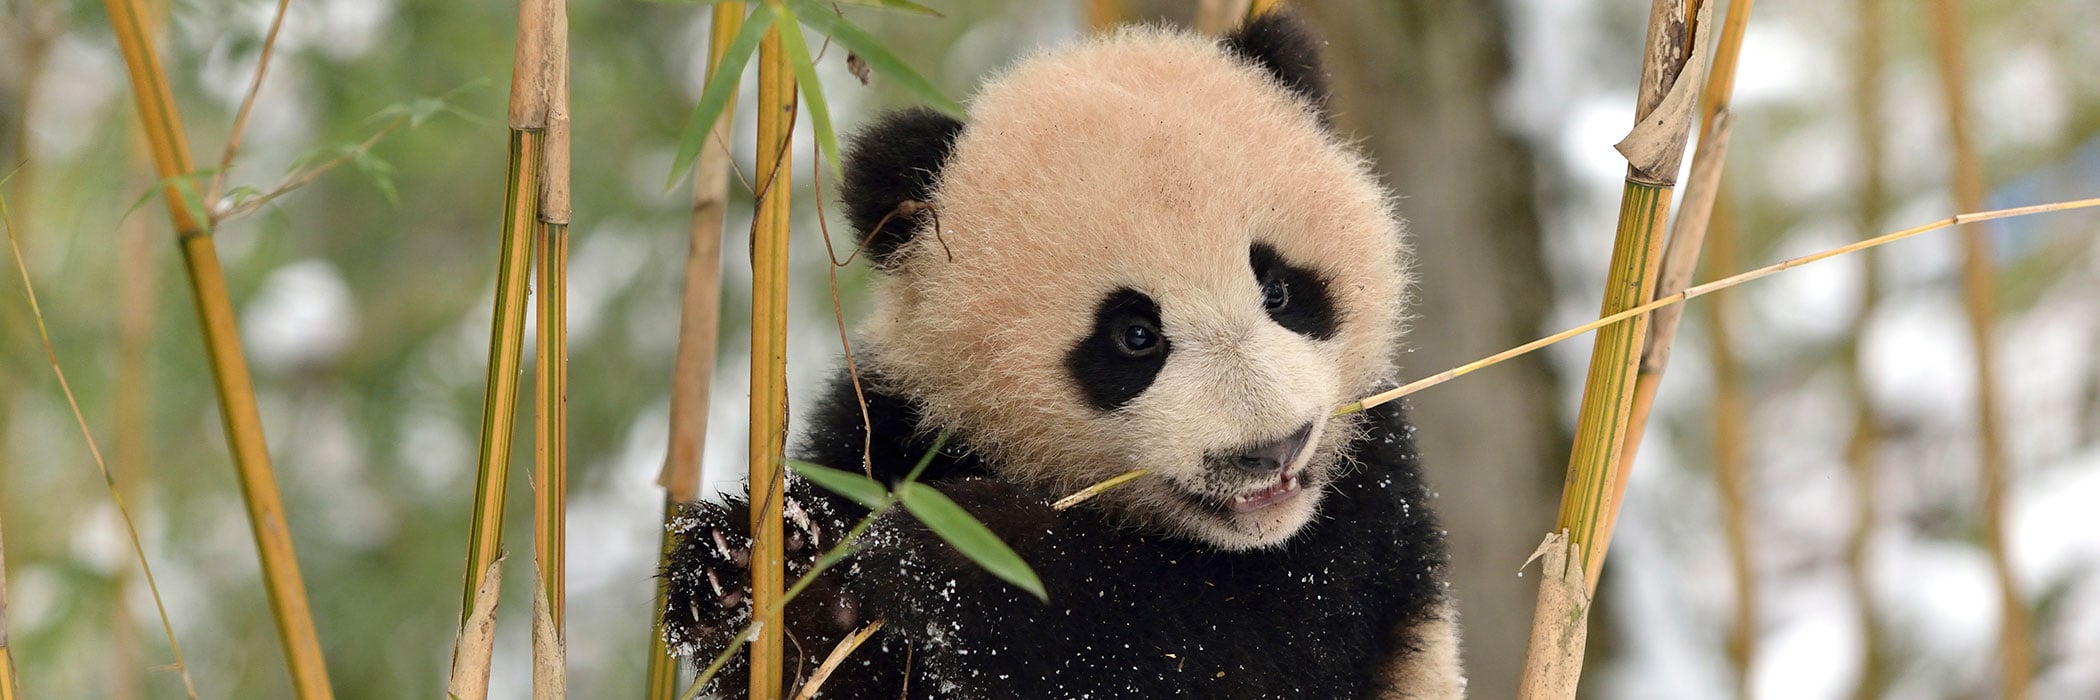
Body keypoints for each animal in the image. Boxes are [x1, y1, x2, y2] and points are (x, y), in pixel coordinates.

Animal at [663, 12, 1463, 699]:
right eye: (1134, 336)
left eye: (1280, 289)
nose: (1270, 449)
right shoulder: (893, 423)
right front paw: (748, 569)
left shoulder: (1367, 510)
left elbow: (1209, 647)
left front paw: (961, 546)